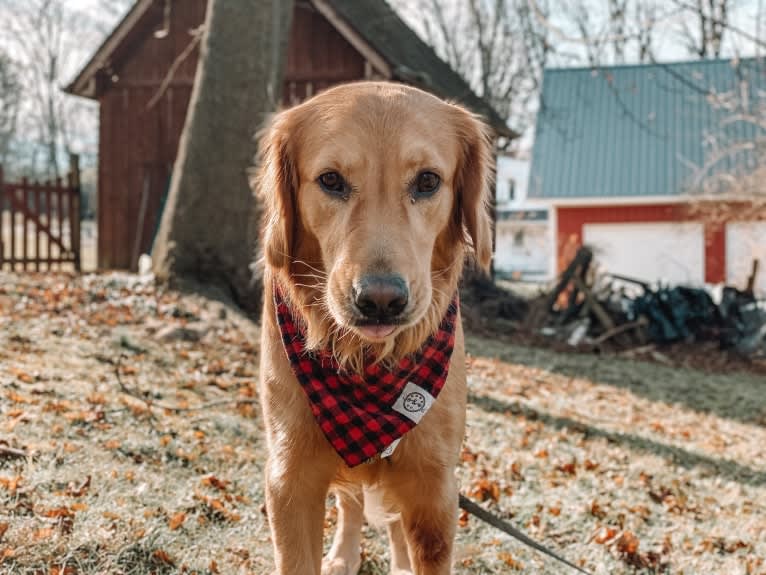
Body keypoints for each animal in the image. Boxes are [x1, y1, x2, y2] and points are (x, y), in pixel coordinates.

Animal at [256, 82, 492, 575]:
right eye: (330, 180)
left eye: (427, 181)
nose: (381, 301)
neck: (367, 367)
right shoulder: (290, 478)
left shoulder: (434, 490)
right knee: (352, 504)